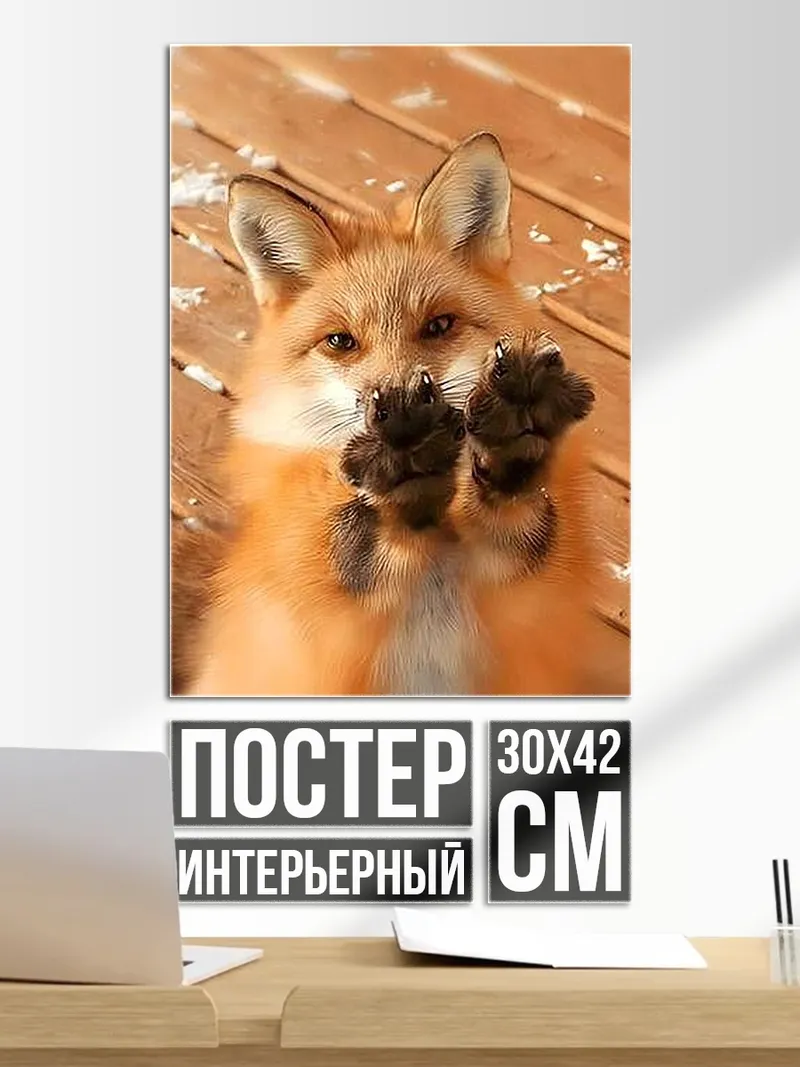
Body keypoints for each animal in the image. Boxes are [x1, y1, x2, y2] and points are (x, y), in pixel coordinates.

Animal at [176, 131, 601, 697]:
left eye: (439, 325)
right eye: (340, 341)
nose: (401, 404)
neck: (438, 538)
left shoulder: (525, 595)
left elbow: (518, 513)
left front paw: (514, 441)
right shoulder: (314, 619)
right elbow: (355, 540)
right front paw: (402, 471)